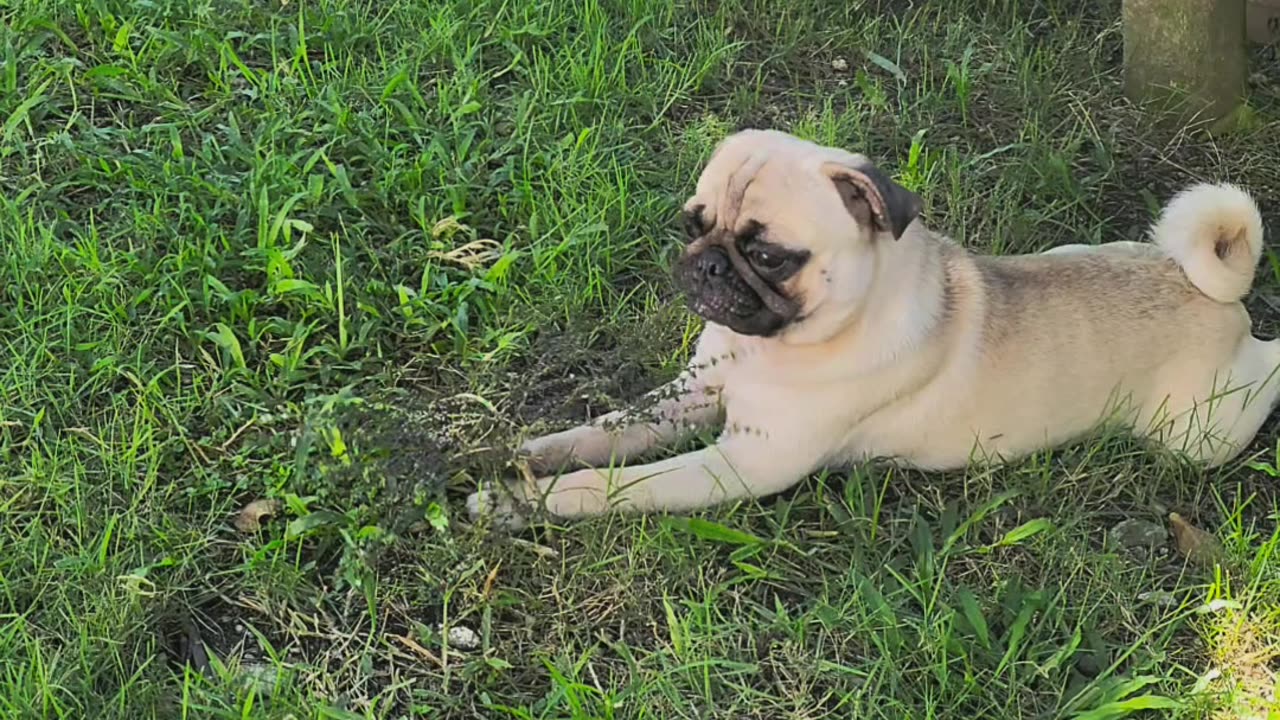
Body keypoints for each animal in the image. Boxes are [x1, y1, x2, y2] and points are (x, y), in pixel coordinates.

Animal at [468, 127, 1280, 527]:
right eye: (692, 225)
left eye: (769, 255)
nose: (704, 266)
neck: (767, 351)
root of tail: (1215, 296)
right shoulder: (695, 396)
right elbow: (605, 430)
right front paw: (525, 455)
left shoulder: (741, 462)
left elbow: (618, 484)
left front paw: (521, 503)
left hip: (1196, 434)